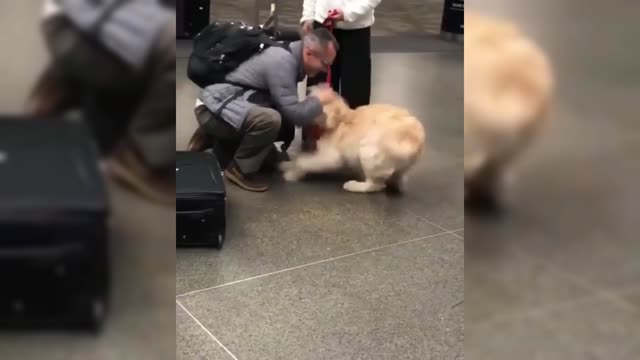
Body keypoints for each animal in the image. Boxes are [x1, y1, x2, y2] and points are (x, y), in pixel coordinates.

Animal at [280, 92, 424, 194]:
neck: (338, 121)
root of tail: (413, 136)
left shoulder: (330, 158)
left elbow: (303, 161)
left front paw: (292, 173)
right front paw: (287, 165)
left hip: (368, 151)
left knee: (376, 185)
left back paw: (355, 185)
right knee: (397, 178)